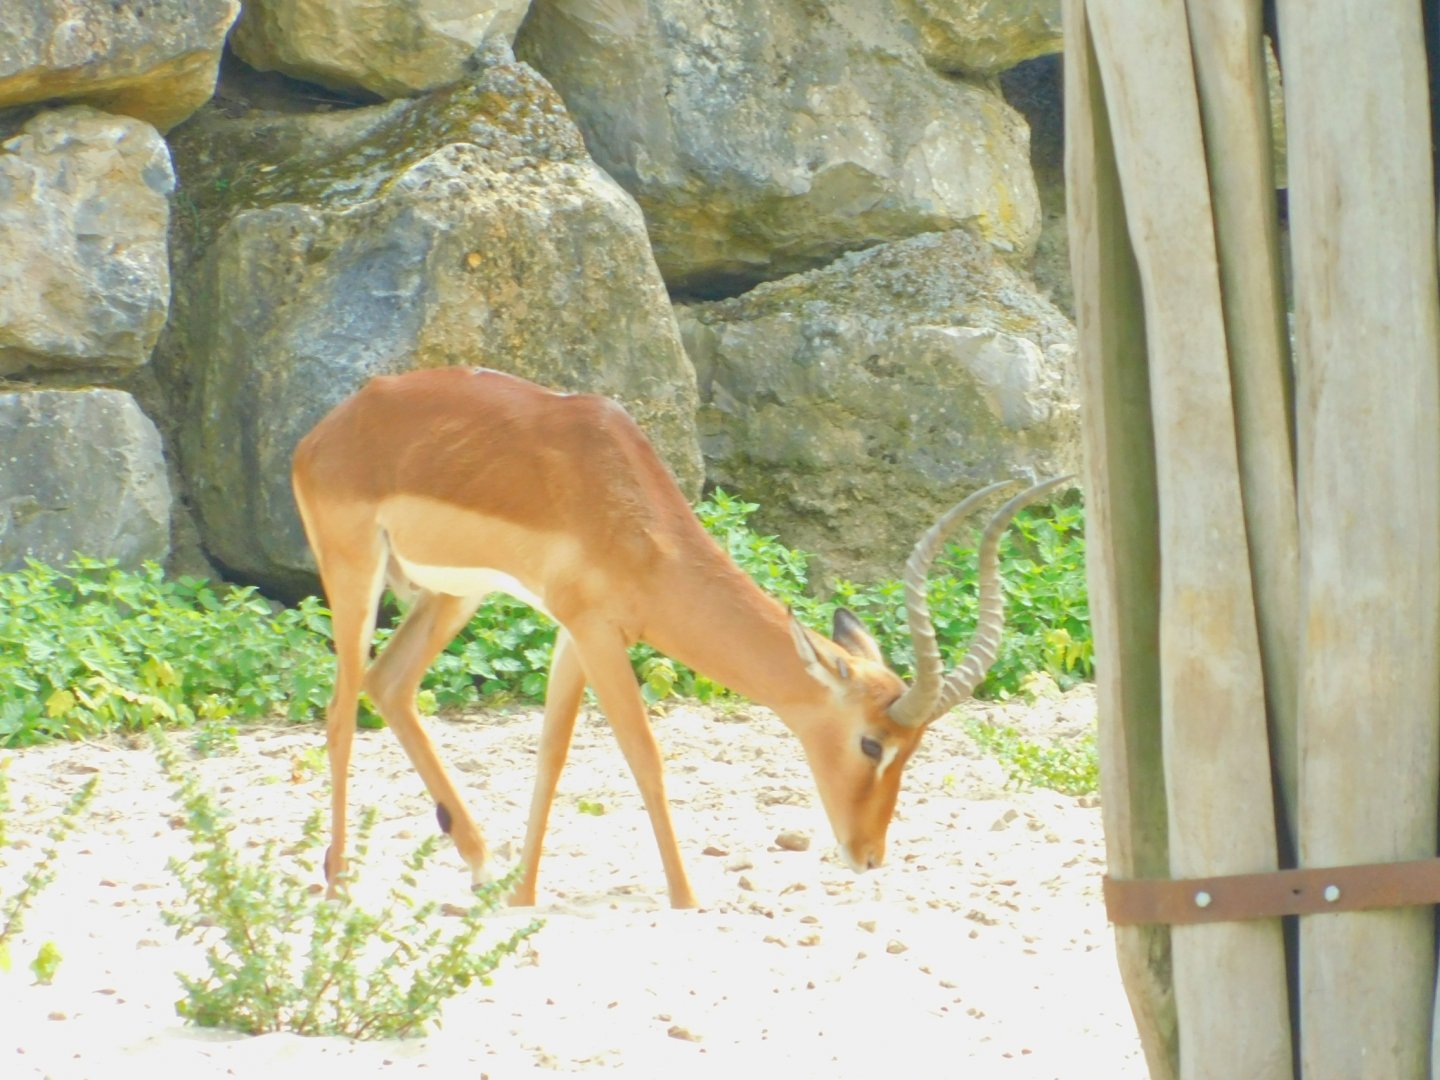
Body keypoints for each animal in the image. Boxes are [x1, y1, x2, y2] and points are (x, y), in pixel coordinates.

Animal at [291, 366, 1066, 909]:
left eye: (914, 750)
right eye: (872, 743)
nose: (868, 855)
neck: (628, 508)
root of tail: (321, 436)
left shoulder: (576, 633)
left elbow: (551, 756)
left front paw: (523, 894)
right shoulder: (596, 632)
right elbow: (646, 756)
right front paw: (687, 897)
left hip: (455, 594)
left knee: (390, 685)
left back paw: (481, 865)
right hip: (355, 577)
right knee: (339, 712)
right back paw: (339, 884)